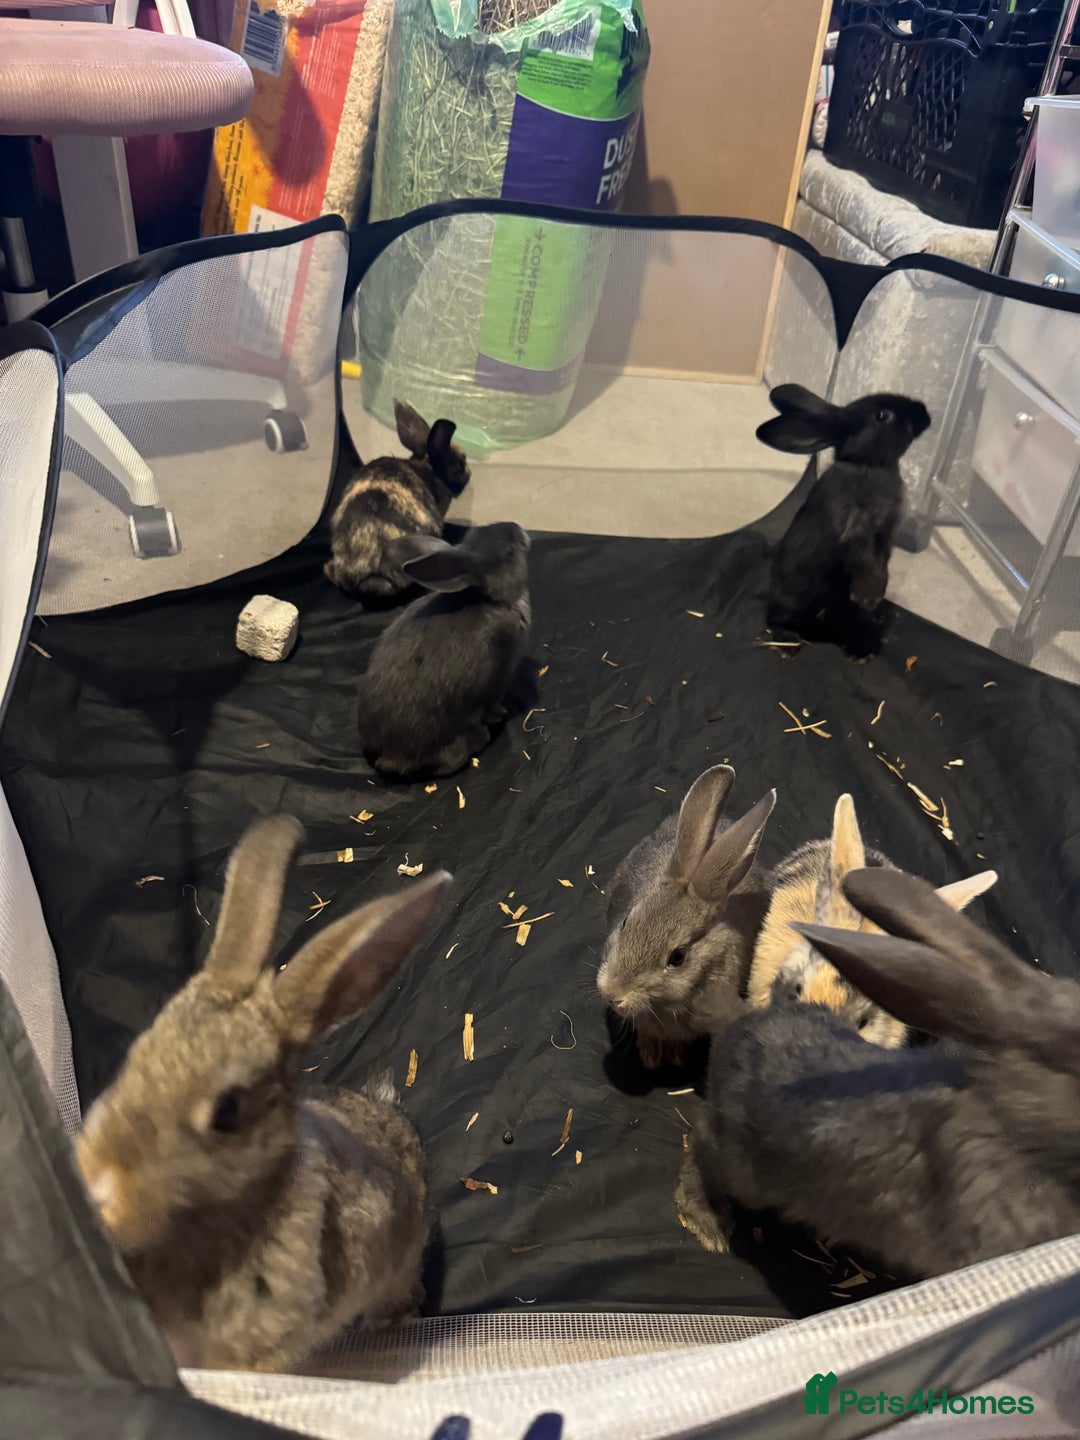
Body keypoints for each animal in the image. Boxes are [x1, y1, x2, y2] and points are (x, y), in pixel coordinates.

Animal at [355, 520, 531, 779]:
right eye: (510, 552)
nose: (520, 530)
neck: (491, 599)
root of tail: (388, 757)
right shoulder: (497, 682)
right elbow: (494, 703)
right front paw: (502, 713)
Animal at [755, 384, 931, 657]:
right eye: (883, 416)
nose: (923, 410)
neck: (866, 465)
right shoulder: (856, 527)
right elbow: (866, 560)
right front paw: (868, 597)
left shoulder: (885, 537)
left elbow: (882, 562)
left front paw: (875, 601)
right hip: (792, 602)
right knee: (774, 618)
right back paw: (789, 641)